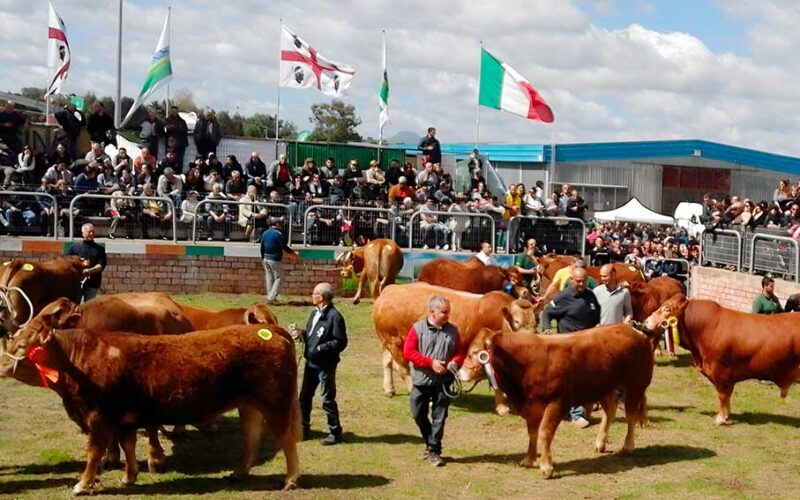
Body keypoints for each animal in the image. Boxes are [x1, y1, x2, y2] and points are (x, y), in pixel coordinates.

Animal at [0, 298, 300, 494]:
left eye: (24, 345)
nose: (2, 364)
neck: (81, 358)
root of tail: (271, 330)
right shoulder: (124, 420)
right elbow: (128, 446)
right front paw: (129, 477)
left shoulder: (99, 418)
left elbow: (94, 453)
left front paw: (82, 484)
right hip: (250, 406)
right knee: (252, 437)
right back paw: (239, 473)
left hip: (277, 403)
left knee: (286, 438)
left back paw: (290, 479)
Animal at [370, 282, 536, 414]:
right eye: (517, 322)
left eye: (536, 321)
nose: (532, 337)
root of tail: (390, 289)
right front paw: (502, 407)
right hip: (395, 342)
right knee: (402, 369)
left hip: (387, 341)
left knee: (387, 362)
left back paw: (389, 389)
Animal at [456, 322, 656, 478]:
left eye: (474, 353)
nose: (458, 373)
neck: (527, 362)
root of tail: (635, 331)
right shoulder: (531, 406)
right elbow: (532, 433)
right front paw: (529, 459)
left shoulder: (556, 404)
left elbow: (545, 433)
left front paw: (546, 467)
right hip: (603, 386)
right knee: (611, 409)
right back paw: (600, 443)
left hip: (634, 385)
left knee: (631, 415)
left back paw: (628, 446)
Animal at [644, 294, 800, 428]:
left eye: (666, 309)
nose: (645, 322)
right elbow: (727, 396)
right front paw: (726, 415)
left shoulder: (720, 371)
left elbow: (722, 396)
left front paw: (721, 418)